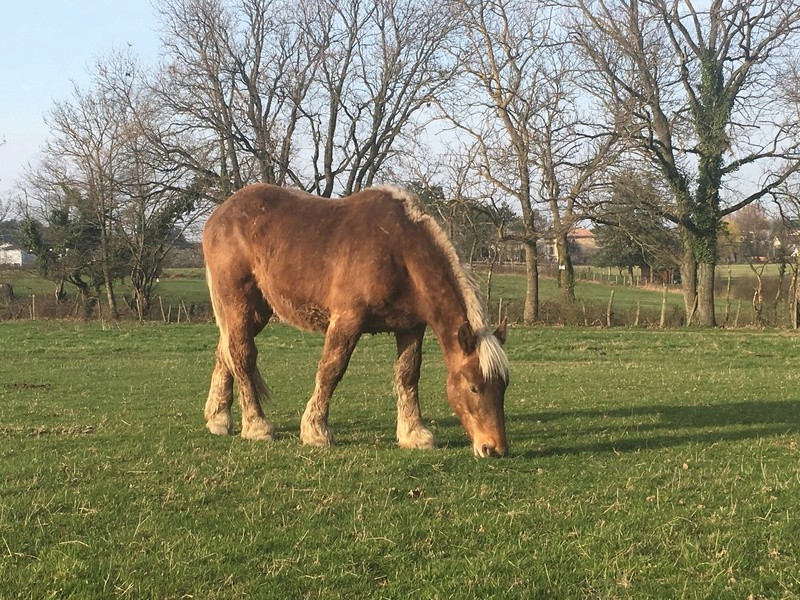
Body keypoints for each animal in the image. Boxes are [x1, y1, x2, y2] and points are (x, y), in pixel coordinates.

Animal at [203, 183, 510, 454]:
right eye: (473, 387)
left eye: (503, 387)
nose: (493, 448)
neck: (399, 251)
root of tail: (219, 215)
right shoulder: (348, 320)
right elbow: (331, 370)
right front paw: (316, 431)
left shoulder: (411, 327)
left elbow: (408, 375)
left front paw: (414, 433)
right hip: (239, 303)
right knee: (242, 356)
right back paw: (257, 426)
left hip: (258, 311)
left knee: (225, 352)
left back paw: (219, 418)